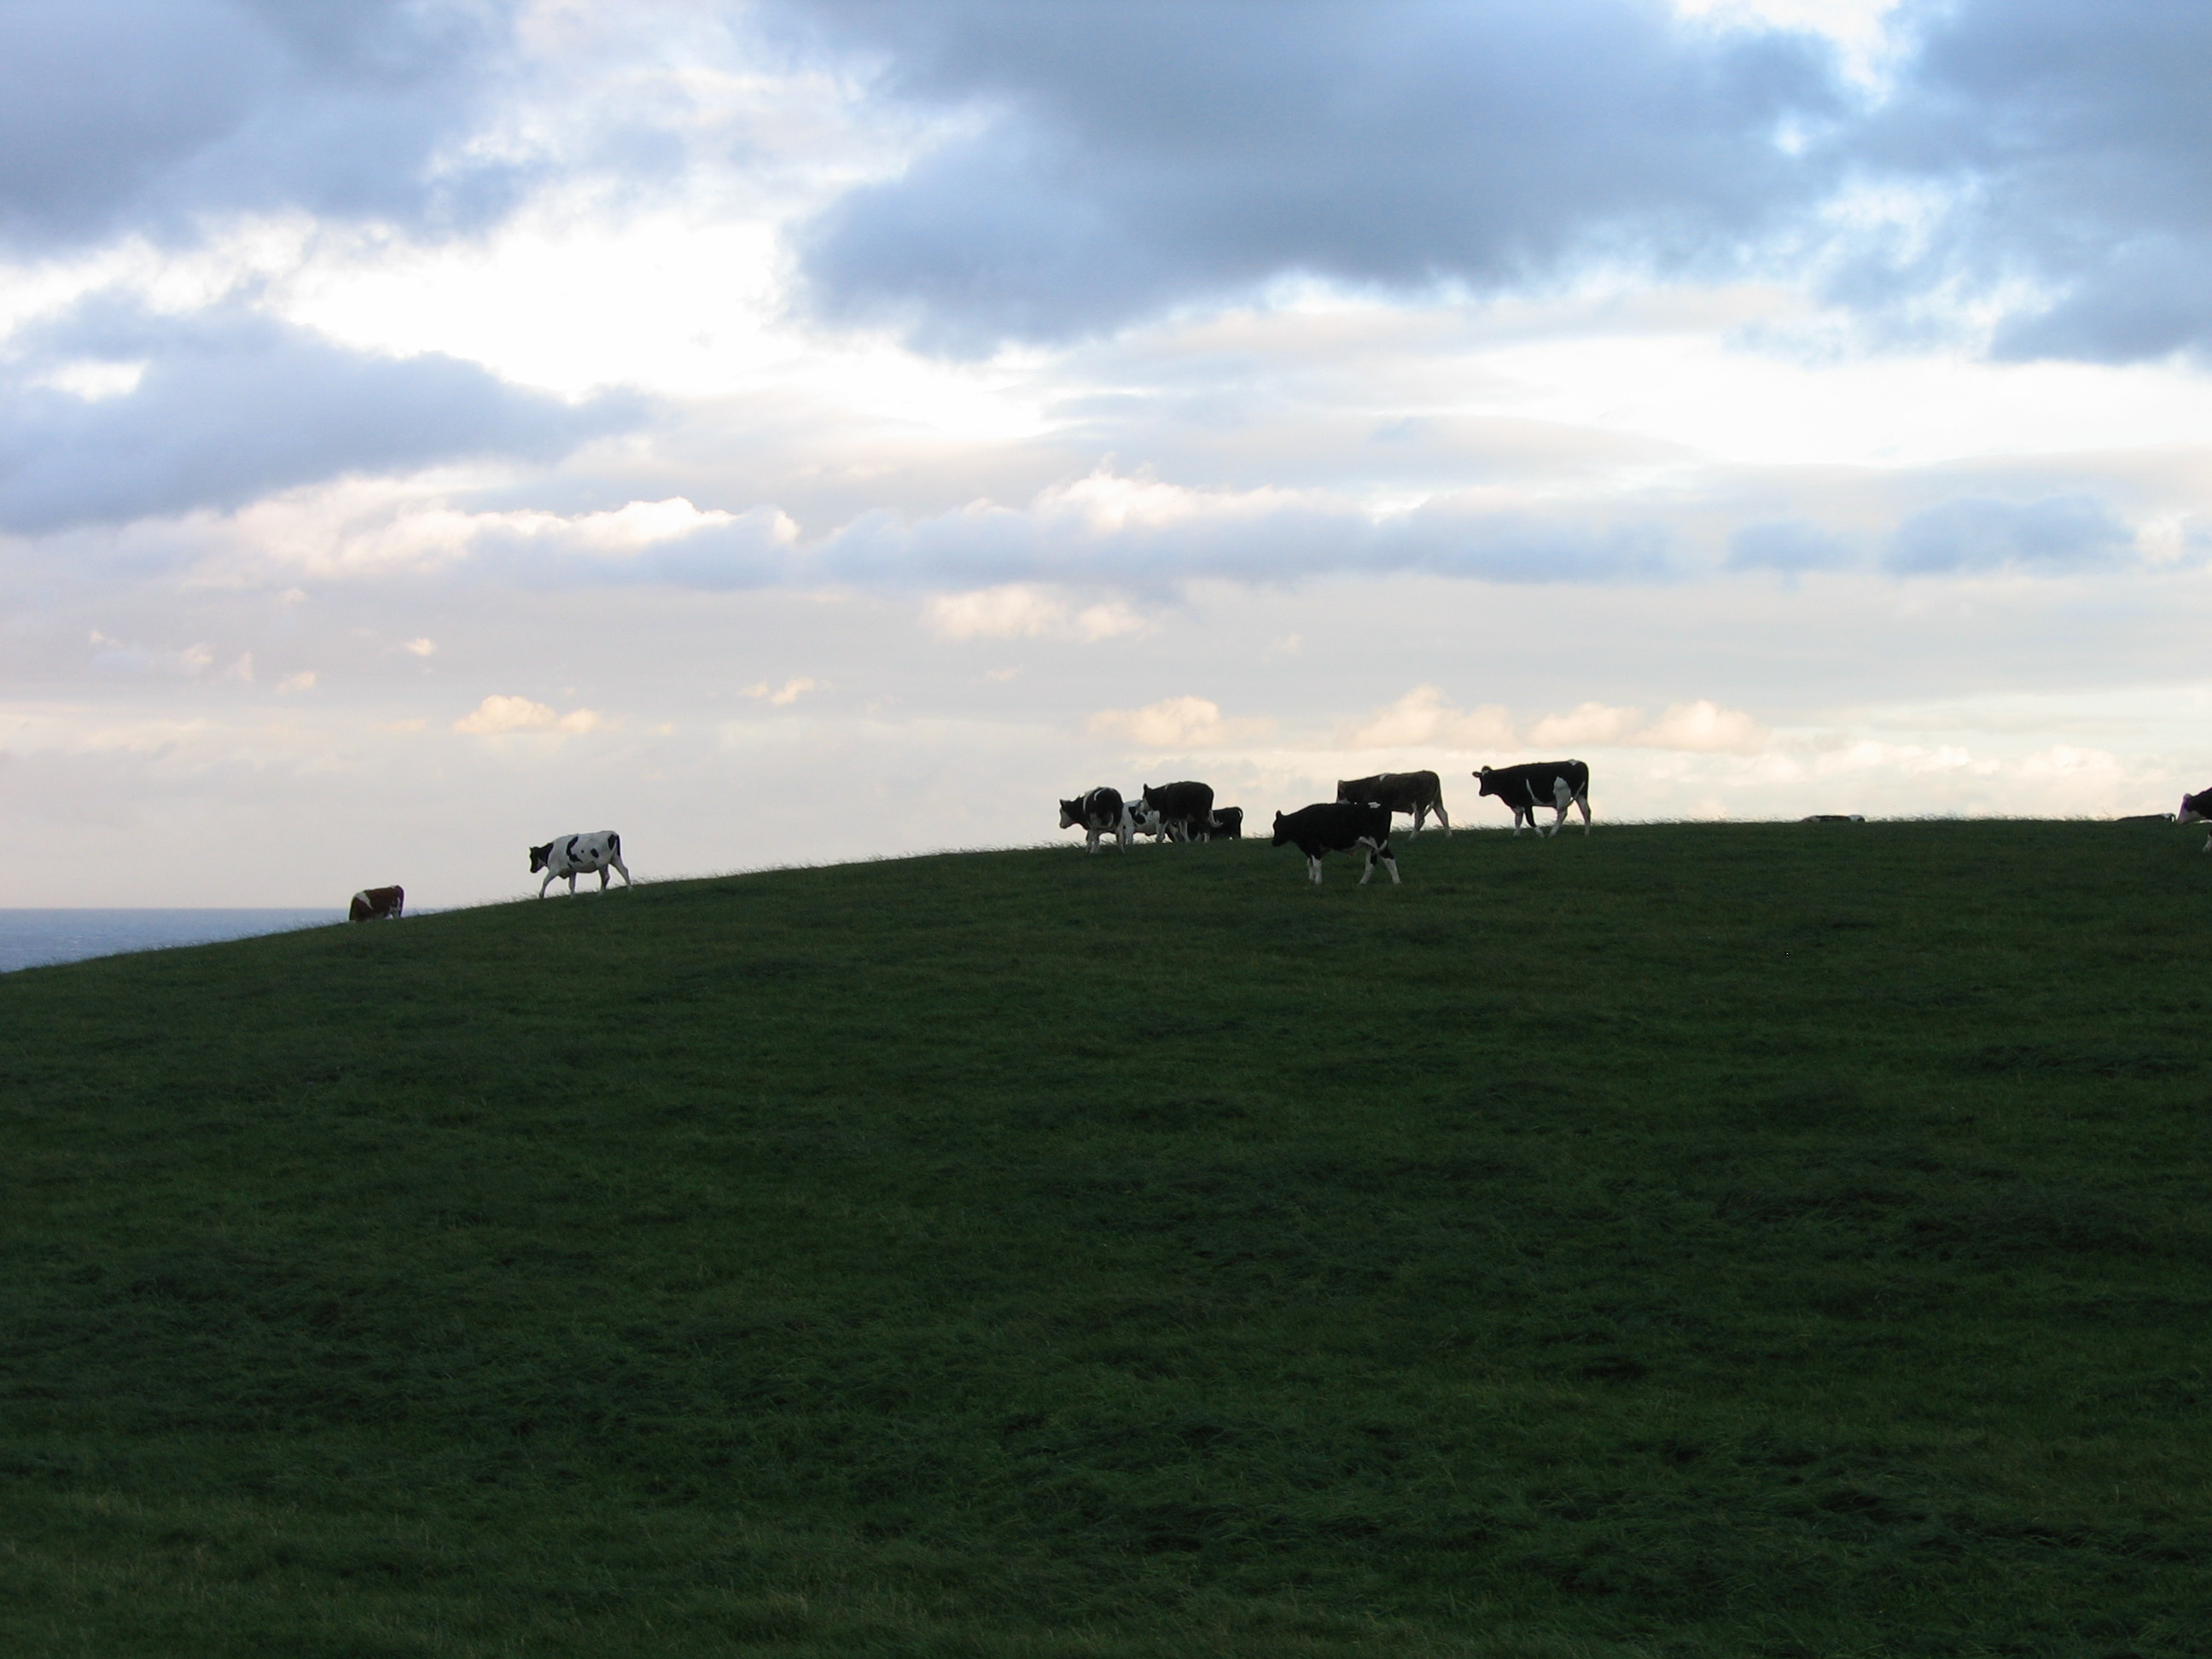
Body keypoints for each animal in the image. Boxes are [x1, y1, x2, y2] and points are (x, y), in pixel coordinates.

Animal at [1273, 800, 1388, 888]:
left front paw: (1318, 882)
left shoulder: (1314, 847)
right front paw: (1312, 878)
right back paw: (1362, 883)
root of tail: (1381, 806)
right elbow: (1310, 863)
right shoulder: (1318, 849)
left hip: (1380, 843)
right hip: (1371, 847)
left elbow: (1317, 864)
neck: (1301, 821)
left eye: (1277, 827)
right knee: (1371, 864)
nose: (1273, 842)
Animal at [1327, 774, 1451, 835]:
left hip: (1419, 803)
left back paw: (1412, 838)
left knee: (1419, 819)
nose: (1336, 804)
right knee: (1443, 815)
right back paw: (1448, 836)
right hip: (1437, 801)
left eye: (1340, 794)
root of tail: (1431, 774)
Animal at [1469, 770, 1592, 845]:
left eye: (1490, 779)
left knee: (1562, 813)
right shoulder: (1516, 804)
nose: (1481, 792)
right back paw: (1586, 833)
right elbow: (1518, 819)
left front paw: (1540, 834)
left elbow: (1529, 819)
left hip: (1562, 795)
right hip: (1581, 794)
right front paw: (1516, 835)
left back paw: (1552, 833)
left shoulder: (1527, 802)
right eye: (1481, 779)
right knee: (1586, 811)